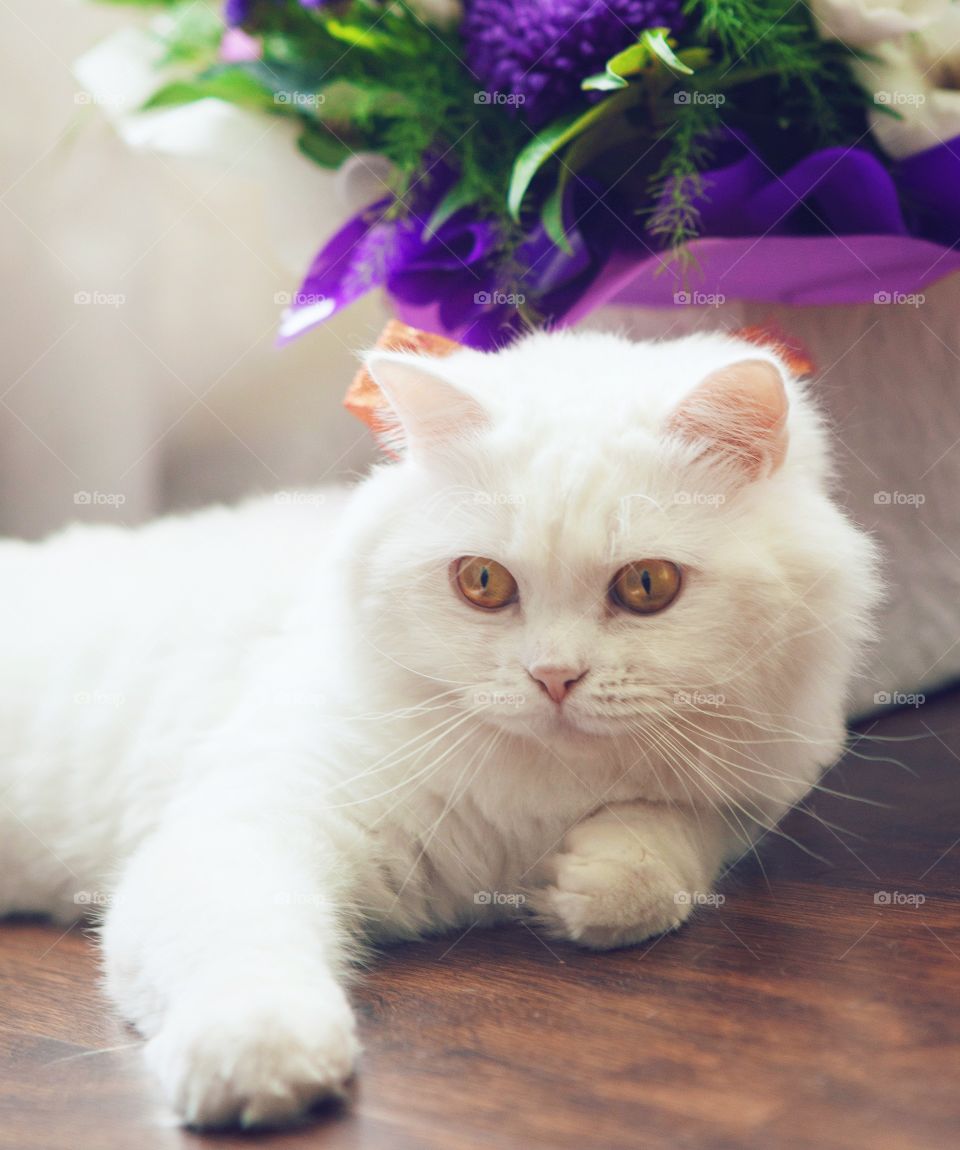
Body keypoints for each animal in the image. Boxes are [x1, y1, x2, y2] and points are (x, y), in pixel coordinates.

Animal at [0, 328, 878, 1127]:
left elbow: (664, 851)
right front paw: (261, 1059)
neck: (533, 804)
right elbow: (243, 947)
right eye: (483, 582)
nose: (553, 678)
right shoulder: (249, 823)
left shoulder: (759, 790)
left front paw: (589, 882)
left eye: (647, 586)